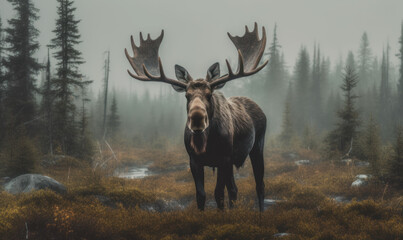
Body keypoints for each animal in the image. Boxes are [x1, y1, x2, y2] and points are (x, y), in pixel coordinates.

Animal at [123, 22, 268, 210]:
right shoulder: (194, 161)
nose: (197, 118)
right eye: (187, 95)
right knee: (234, 189)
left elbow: (218, 194)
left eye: (209, 94)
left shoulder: (224, 159)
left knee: (260, 185)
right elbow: (201, 195)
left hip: (257, 147)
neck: (204, 144)